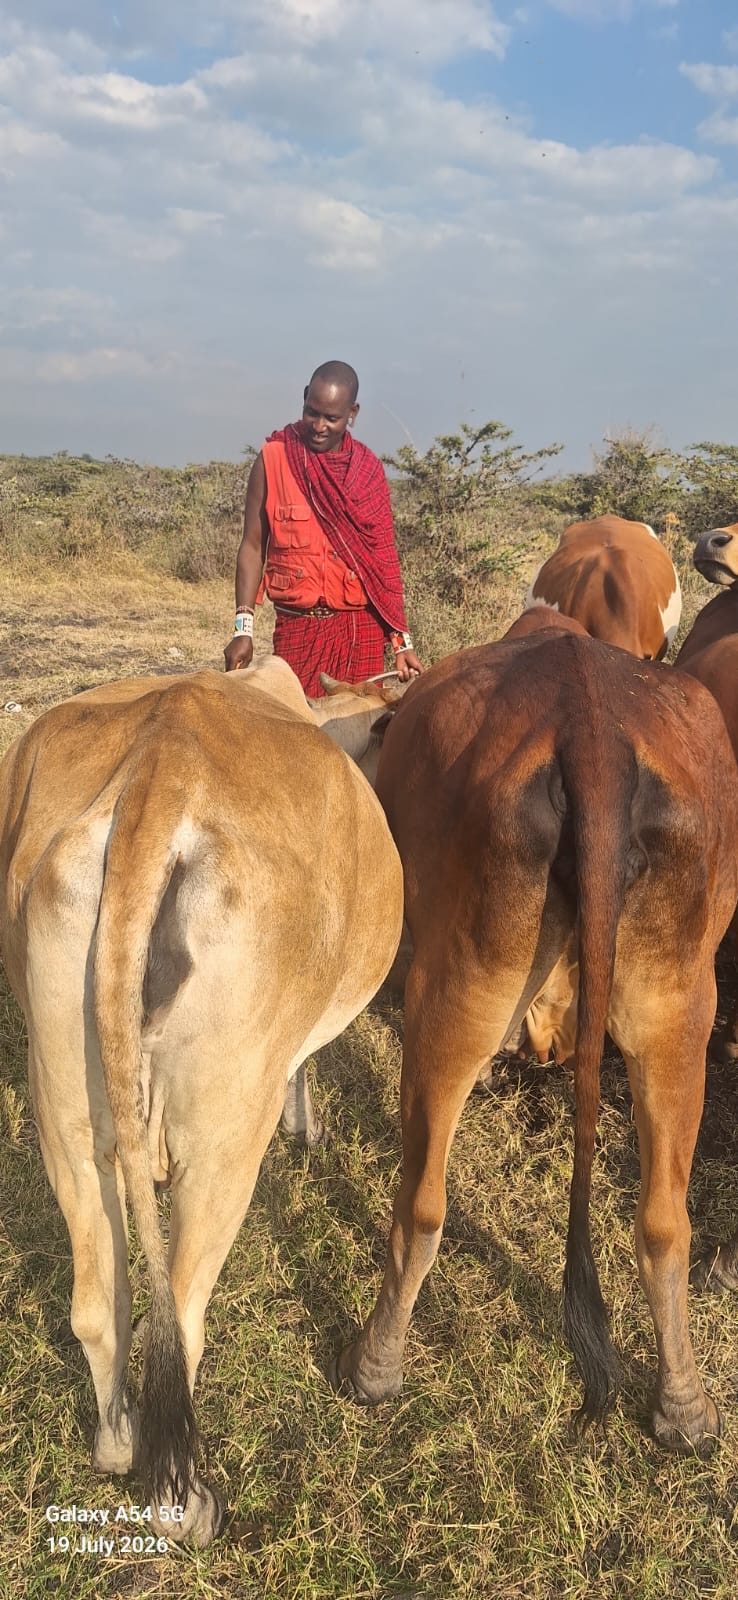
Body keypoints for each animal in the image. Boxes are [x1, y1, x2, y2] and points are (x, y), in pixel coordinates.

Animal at [0, 657, 404, 1547]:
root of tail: (162, 767)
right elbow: (305, 1066)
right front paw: (307, 1127)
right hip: (221, 1138)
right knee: (181, 1315)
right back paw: (186, 1504)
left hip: (65, 1113)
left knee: (99, 1303)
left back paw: (117, 1446)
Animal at [329, 616, 738, 1455]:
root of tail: (589, 730)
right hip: (678, 1005)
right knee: (664, 1221)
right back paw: (684, 1406)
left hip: (458, 990)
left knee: (422, 1202)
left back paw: (374, 1365)